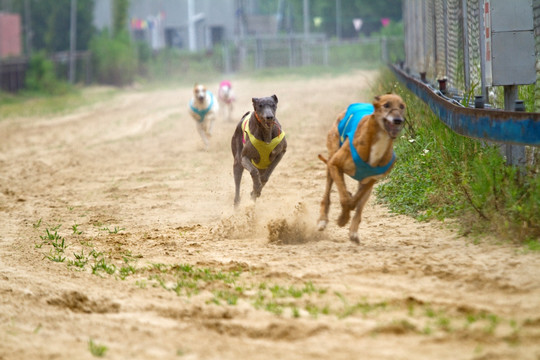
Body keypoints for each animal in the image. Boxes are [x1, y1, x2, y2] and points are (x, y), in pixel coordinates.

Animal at [316, 94, 404, 243]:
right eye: (386, 105)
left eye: (402, 106)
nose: (398, 120)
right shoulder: (335, 164)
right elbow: (345, 199)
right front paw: (342, 219)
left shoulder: (370, 180)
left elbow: (354, 202)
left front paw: (345, 216)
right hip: (331, 159)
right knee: (327, 193)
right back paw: (323, 220)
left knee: (359, 206)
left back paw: (353, 231)